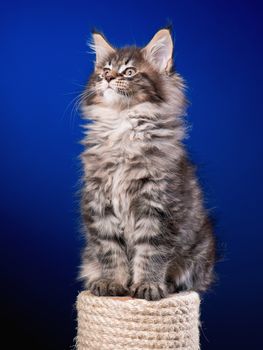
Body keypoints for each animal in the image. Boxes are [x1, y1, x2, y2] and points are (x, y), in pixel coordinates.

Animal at [78, 28, 217, 300]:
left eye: (129, 72)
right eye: (105, 70)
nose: (108, 77)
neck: (122, 123)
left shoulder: (158, 205)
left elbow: (152, 253)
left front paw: (147, 286)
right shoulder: (99, 203)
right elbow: (110, 250)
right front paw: (112, 283)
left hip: (199, 254)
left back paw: (168, 286)